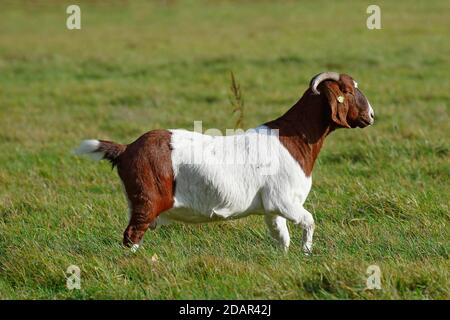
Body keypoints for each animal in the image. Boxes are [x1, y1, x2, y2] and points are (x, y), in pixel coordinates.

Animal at [75, 72, 374, 252]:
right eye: (348, 90)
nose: (371, 115)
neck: (294, 139)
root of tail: (127, 149)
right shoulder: (284, 200)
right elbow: (309, 221)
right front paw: (307, 253)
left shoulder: (272, 207)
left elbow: (281, 237)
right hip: (147, 202)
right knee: (132, 235)